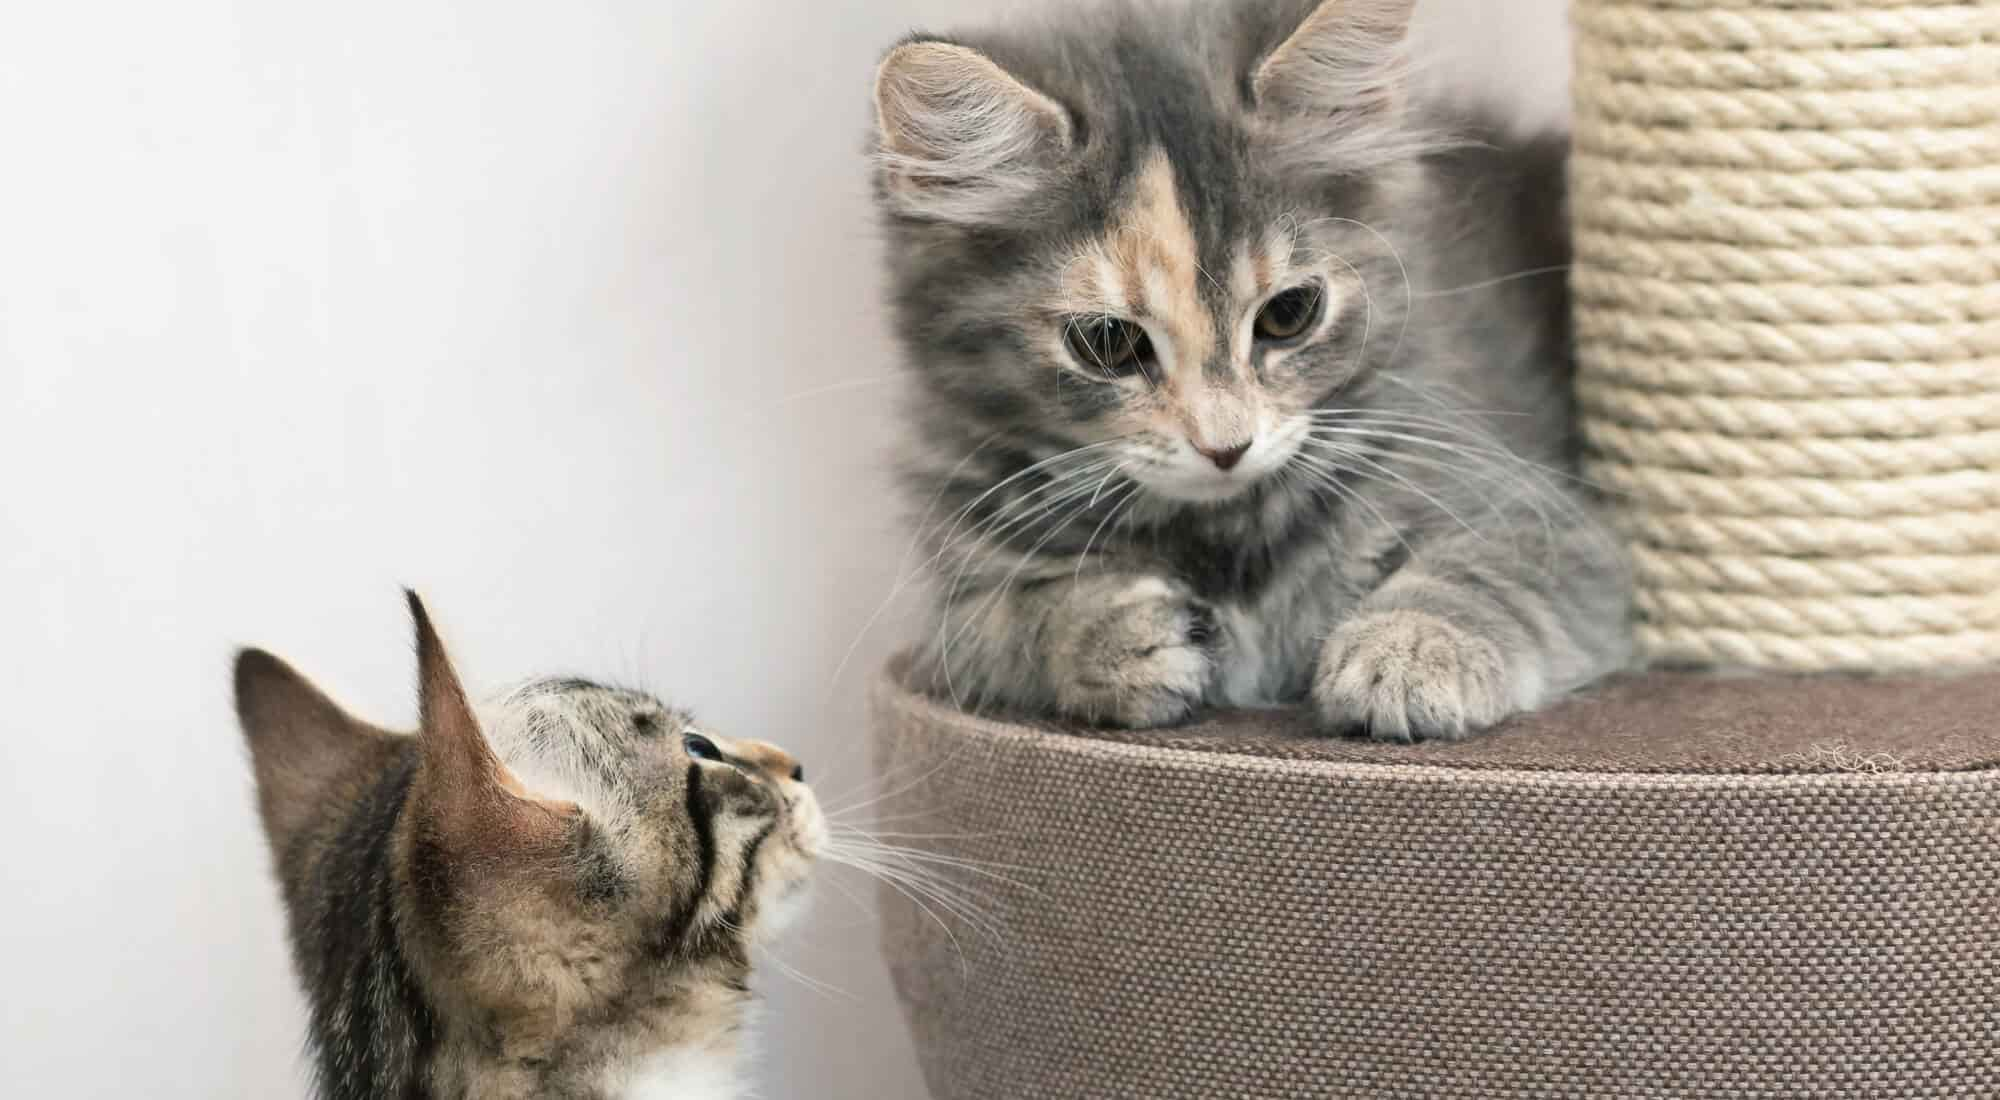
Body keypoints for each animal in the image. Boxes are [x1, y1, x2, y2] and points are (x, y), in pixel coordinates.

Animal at [868, 2, 1632, 740]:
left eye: (1290, 313)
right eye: (1109, 343)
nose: (1225, 447)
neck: (1227, 531)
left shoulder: (1543, 515)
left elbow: (1487, 574)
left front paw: (1408, 649)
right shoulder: (956, 605)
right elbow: (1011, 617)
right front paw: (1110, 635)